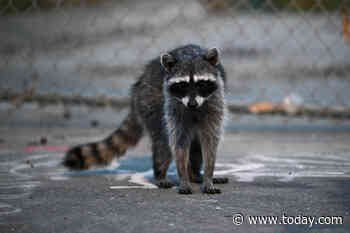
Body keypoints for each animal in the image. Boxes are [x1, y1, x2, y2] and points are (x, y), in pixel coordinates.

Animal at [64, 44, 228, 194]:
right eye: (182, 85)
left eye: (201, 83)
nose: (192, 104)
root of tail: (139, 83)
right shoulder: (173, 107)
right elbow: (178, 143)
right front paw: (183, 177)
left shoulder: (215, 103)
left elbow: (209, 142)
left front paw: (208, 176)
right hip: (150, 103)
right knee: (163, 143)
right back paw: (162, 173)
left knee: (195, 146)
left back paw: (195, 175)